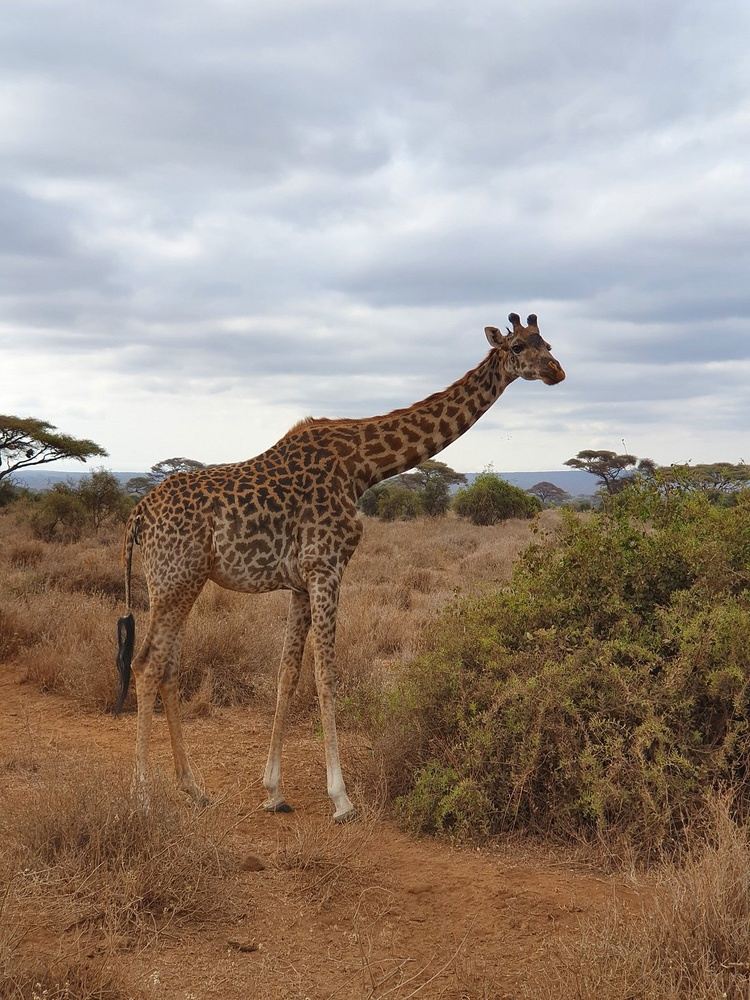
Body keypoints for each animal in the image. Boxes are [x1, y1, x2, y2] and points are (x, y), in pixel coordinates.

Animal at [116, 312, 564, 820]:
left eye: (547, 343)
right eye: (518, 348)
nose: (557, 372)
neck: (363, 466)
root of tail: (137, 515)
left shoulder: (299, 581)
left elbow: (287, 675)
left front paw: (274, 791)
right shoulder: (326, 568)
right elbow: (326, 675)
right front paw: (341, 797)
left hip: (181, 582)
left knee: (168, 666)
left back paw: (194, 788)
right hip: (175, 578)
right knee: (147, 665)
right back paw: (144, 798)